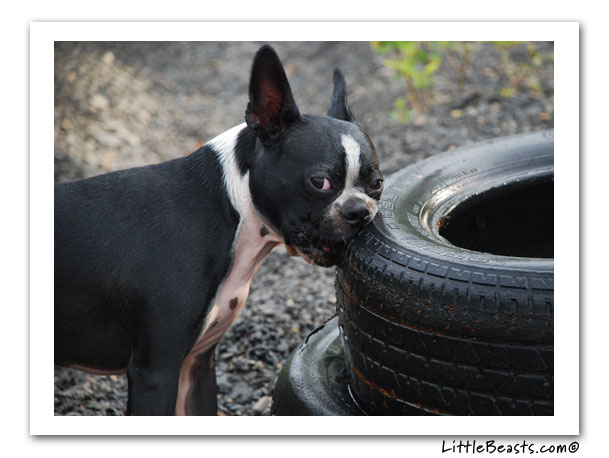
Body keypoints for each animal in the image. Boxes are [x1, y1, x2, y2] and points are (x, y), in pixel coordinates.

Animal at [54, 45, 382, 416]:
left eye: (377, 185)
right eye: (320, 182)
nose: (360, 211)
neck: (229, 208)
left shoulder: (197, 366)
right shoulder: (156, 371)